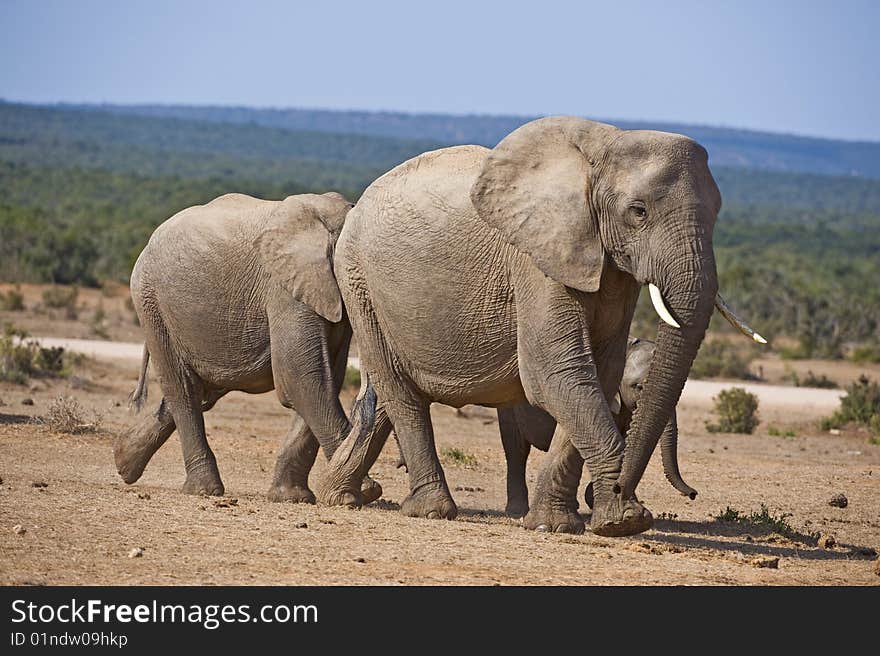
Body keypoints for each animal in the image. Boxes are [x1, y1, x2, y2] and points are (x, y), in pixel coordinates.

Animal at [112, 191, 378, 502]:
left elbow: (324, 380)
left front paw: (292, 497)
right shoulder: (285, 289)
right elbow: (300, 377)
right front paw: (364, 492)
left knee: (204, 390)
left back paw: (123, 460)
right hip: (151, 303)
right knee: (183, 389)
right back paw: (204, 490)